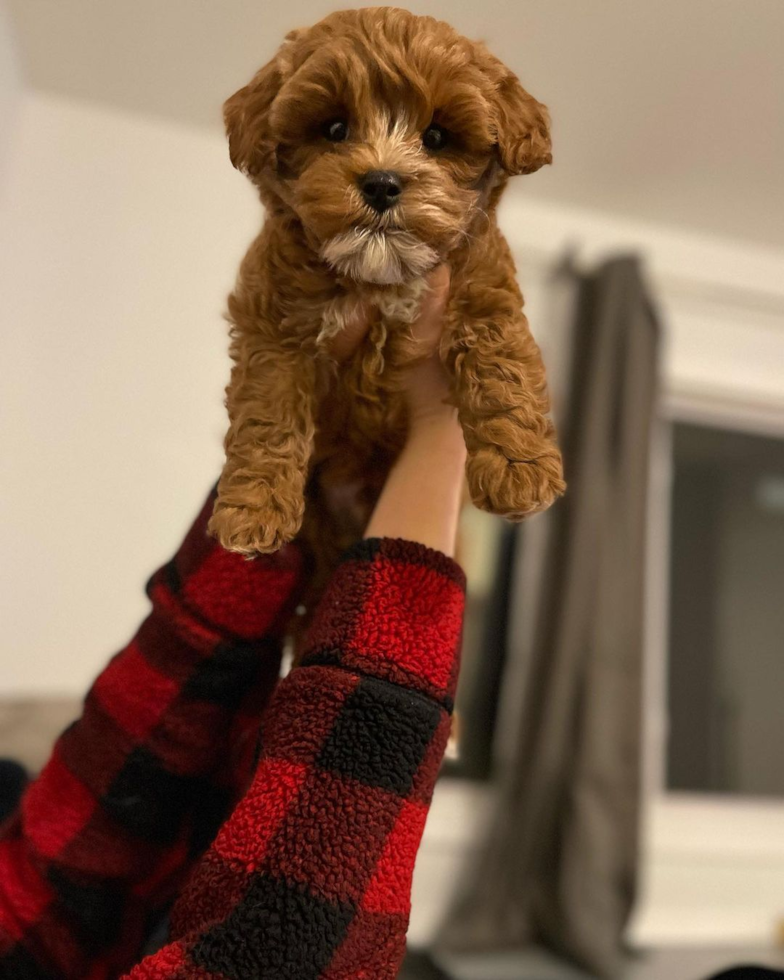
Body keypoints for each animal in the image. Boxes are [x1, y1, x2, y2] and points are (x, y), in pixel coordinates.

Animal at [208, 5, 564, 560]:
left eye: (436, 137)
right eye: (334, 128)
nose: (381, 182)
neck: (379, 279)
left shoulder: (483, 285)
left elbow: (500, 360)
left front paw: (520, 473)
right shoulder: (273, 322)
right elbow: (267, 406)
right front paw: (252, 511)